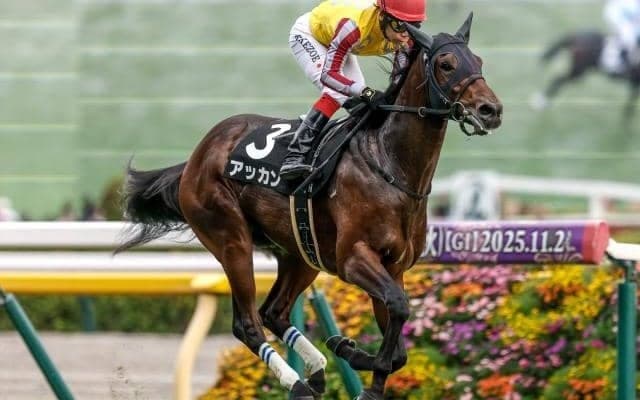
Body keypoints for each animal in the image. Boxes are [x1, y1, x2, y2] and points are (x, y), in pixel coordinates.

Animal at [116, 13, 502, 400]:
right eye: (446, 64)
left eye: (479, 61)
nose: (491, 110)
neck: (389, 166)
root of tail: (196, 157)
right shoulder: (353, 259)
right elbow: (398, 309)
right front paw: (362, 368)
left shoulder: (393, 267)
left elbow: (399, 341)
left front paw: (352, 354)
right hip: (231, 240)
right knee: (247, 323)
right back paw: (298, 382)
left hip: (300, 253)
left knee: (273, 311)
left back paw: (316, 370)